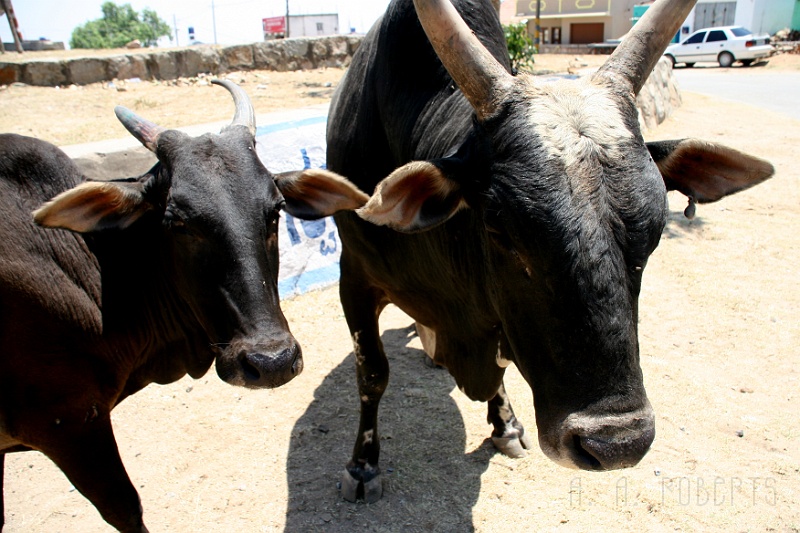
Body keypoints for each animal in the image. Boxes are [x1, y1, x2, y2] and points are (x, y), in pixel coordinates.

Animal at [312, 0, 775, 502]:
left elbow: (497, 373)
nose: (616, 442)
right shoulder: (354, 279)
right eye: (498, 226)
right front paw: (363, 466)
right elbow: (373, 374)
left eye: (655, 232)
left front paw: (505, 425)